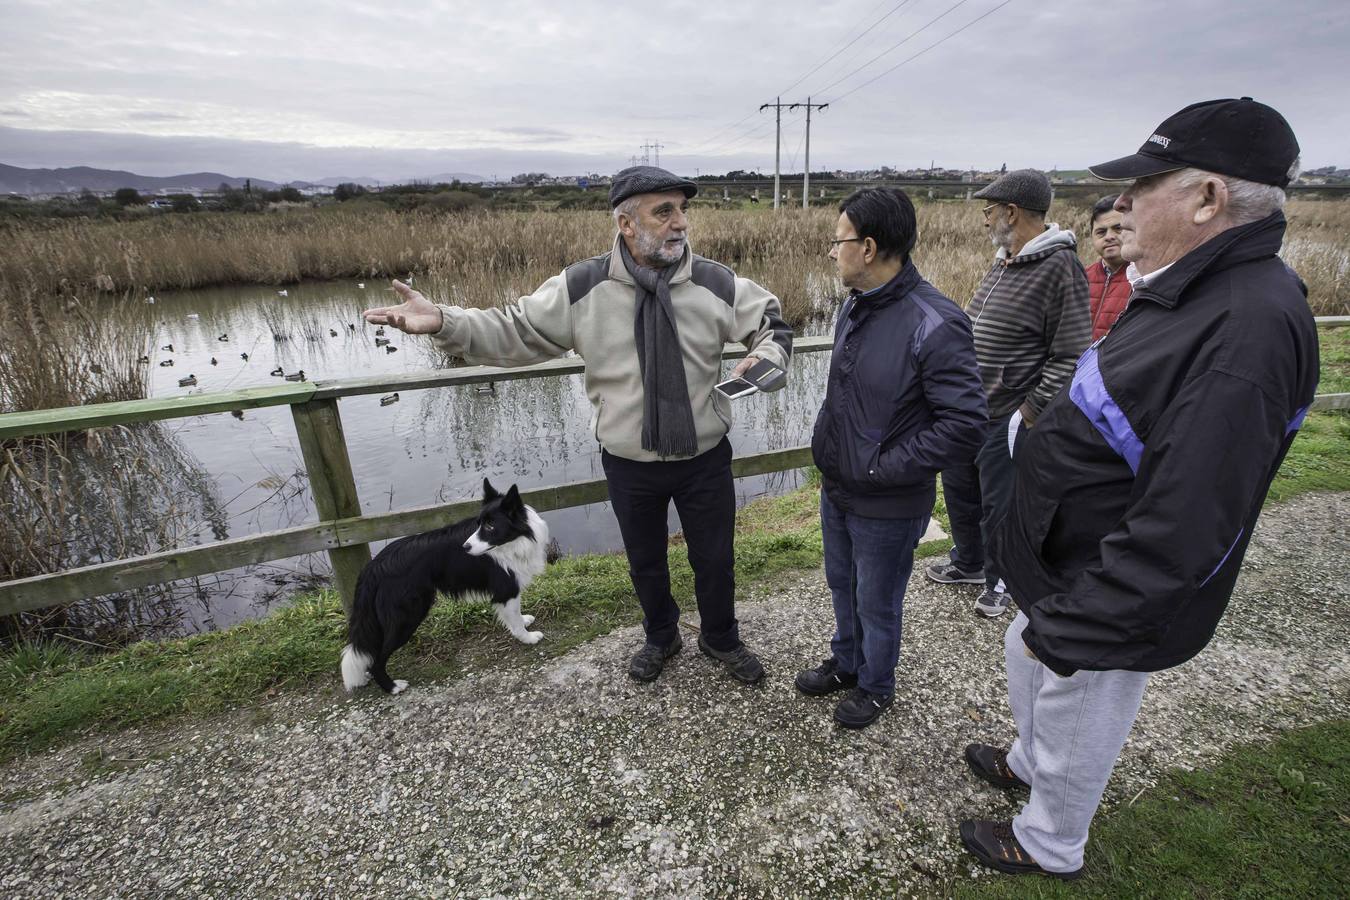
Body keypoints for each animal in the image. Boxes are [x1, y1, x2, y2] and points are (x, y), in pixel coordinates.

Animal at [340, 477, 545, 696]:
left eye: (490, 526)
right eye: (479, 524)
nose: (465, 547)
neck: (516, 540)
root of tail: (374, 566)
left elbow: (516, 615)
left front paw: (524, 620)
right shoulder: (506, 589)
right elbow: (513, 618)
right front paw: (528, 638)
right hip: (407, 616)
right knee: (376, 660)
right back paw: (393, 687)